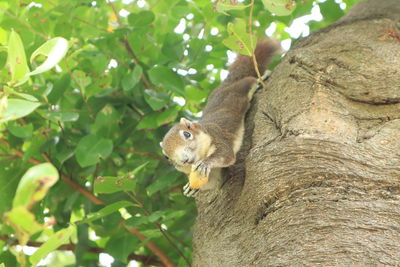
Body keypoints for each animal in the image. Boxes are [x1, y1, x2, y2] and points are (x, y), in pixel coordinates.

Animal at [159, 40, 278, 198]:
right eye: (166, 157)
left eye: (187, 134)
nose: (184, 160)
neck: (201, 153)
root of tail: (224, 85)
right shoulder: (212, 174)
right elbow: (211, 182)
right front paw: (191, 188)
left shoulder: (217, 136)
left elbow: (225, 154)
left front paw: (206, 163)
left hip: (239, 89)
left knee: (250, 80)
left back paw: (261, 78)